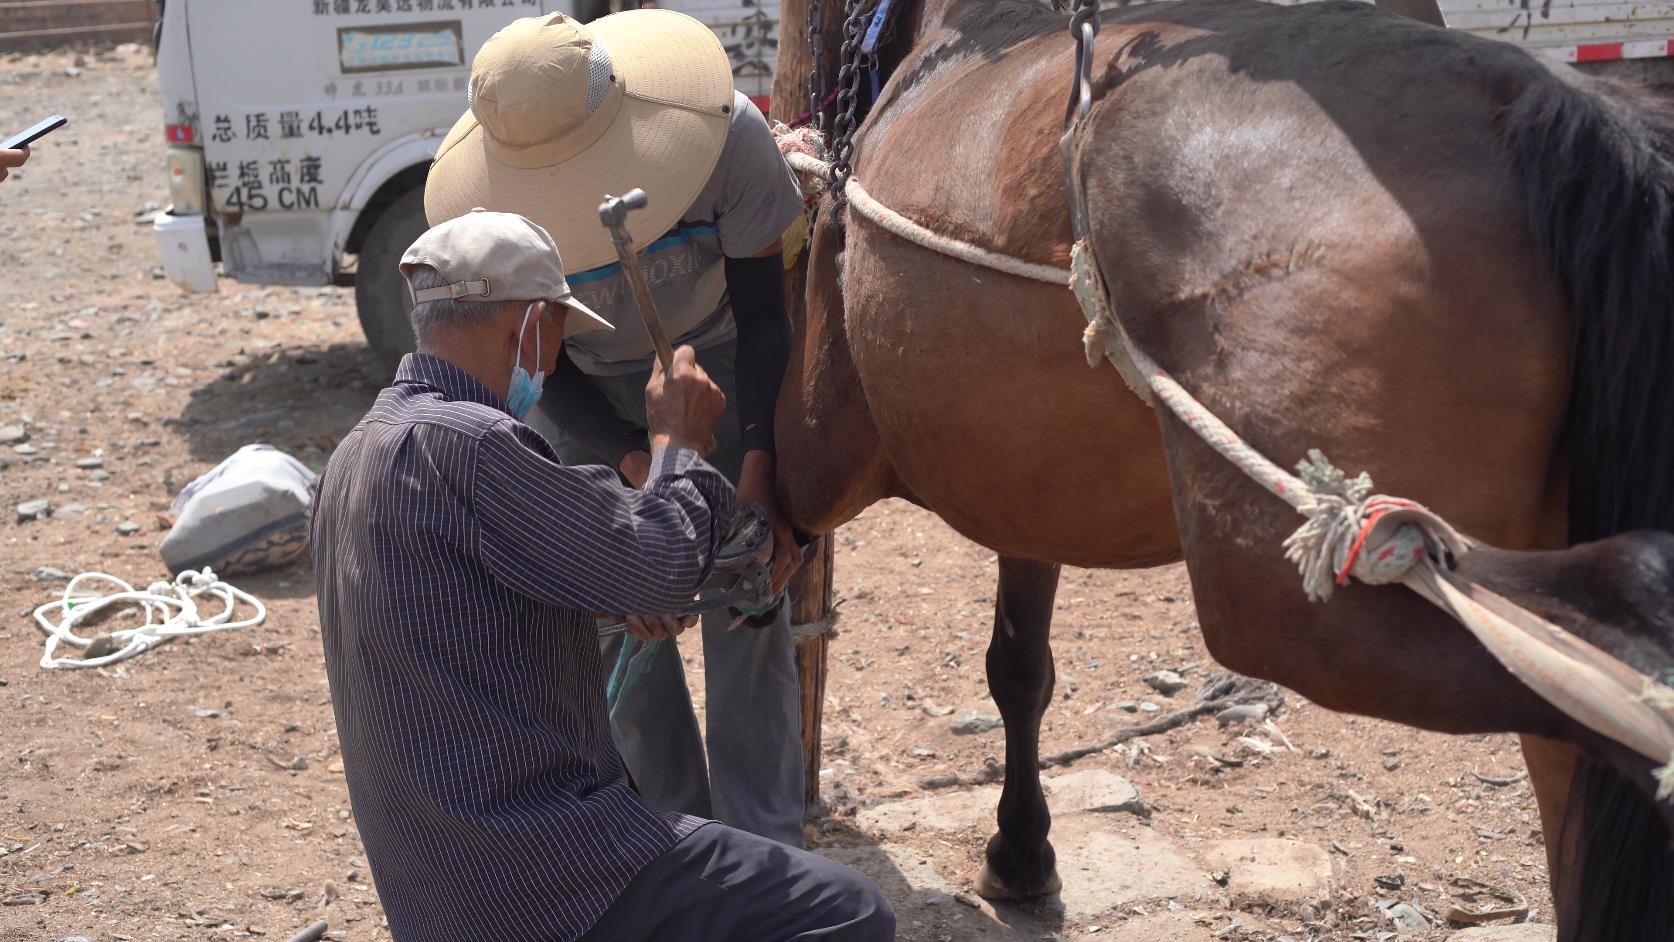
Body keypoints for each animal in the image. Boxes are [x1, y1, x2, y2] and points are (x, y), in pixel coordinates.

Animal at [766, 0, 1674, 936]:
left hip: (1300, 603)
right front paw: (1023, 854)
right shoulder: (1028, 487)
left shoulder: (822, 445)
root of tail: (1532, 103)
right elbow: (1021, 667)